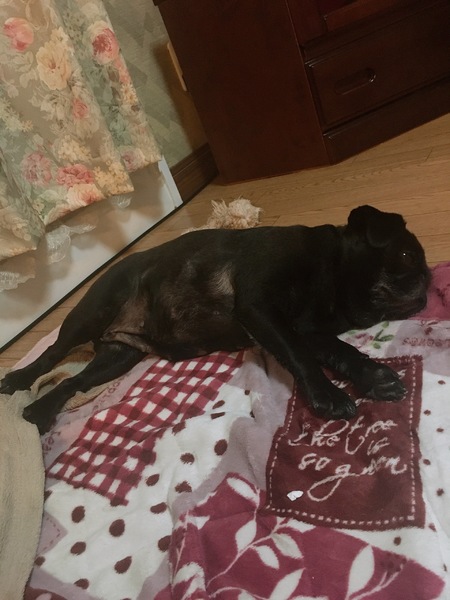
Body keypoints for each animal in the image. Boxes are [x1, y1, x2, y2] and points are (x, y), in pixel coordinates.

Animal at [0, 205, 430, 434]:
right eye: (408, 257)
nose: (428, 286)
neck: (330, 269)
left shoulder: (307, 330)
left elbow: (341, 352)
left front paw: (372, 376)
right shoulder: (261, 308)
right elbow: (303, 358)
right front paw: (329, 395)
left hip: (118, 357)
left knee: (72, 381)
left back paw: (39, 411)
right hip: (92, 313)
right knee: (52, 355)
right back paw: (17, 380)